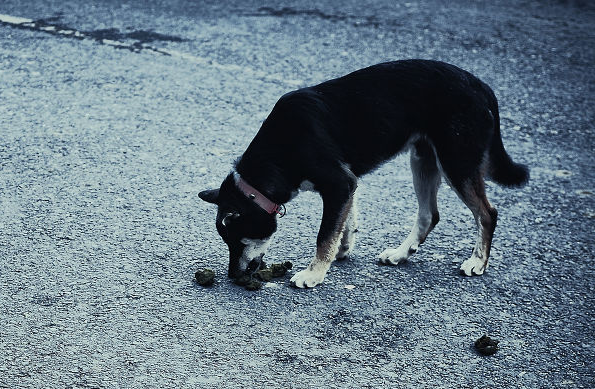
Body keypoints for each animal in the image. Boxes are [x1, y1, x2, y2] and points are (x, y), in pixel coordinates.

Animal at [200, 58, 532, 288]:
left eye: (237, 241)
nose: (232, 276)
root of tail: (481, 86)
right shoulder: (347, 184)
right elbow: (345, 223)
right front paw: (341, 250)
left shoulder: (338, 184)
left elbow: (324, 234)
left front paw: (314, 273)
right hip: (423, 160)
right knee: (429, 215)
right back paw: (401, 253)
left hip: (456, 162)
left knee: (487, 214)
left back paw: (478, 261)